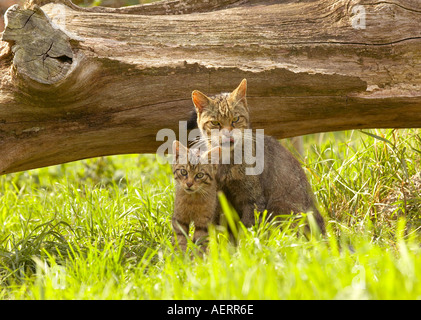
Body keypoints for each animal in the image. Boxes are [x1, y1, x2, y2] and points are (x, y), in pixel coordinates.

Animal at [190, 79, 324, 234]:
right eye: (215, 123)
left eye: (235, 119)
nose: (228, 134)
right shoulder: (217, 200)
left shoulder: (252, 199)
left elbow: (247, 228)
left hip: (280, 208)